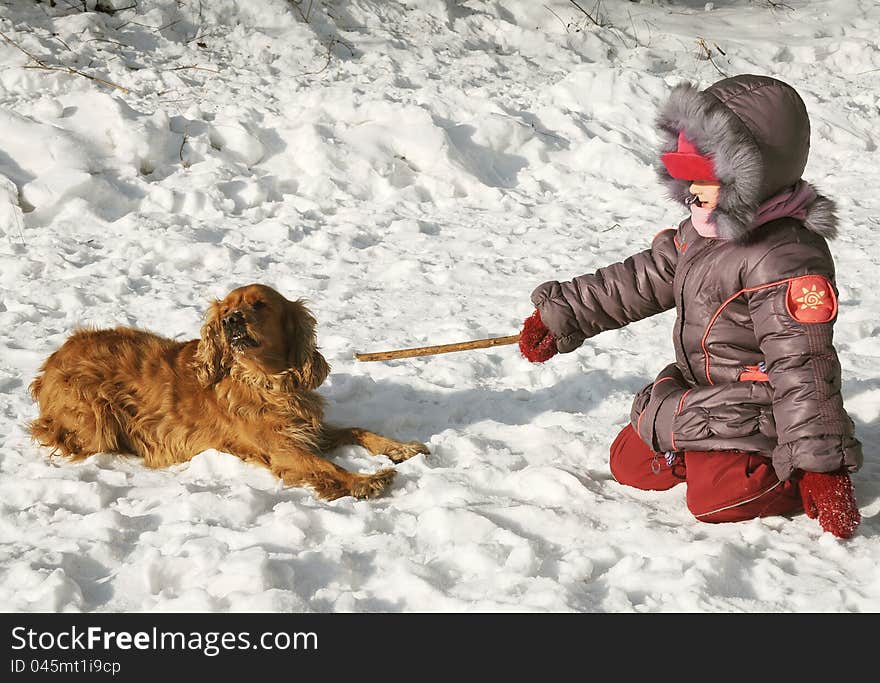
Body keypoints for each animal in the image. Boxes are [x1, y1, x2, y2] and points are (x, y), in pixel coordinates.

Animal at [32, 284, 432, 502]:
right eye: (225, 308)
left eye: (260, 304)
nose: (231, 320)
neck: (267, 381)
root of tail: (50, 362)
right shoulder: (283, 448)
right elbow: (326, 465)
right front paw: (366, 480)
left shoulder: (307, 428)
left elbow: (358, 430)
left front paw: (400, 448)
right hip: (95, 421)